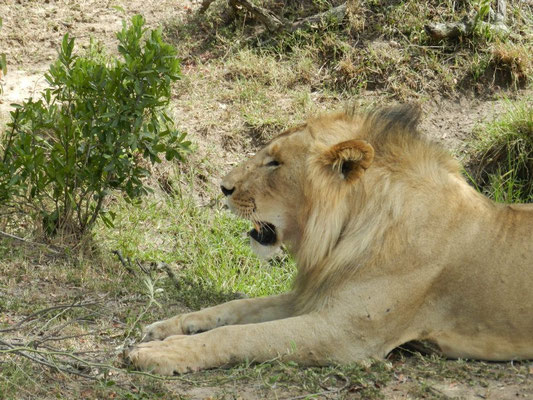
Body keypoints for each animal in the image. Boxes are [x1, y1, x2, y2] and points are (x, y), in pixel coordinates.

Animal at [125, 104, 532, 374]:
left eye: (275, 163)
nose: (223, 187)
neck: (345, 234)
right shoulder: (316, 296)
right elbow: (237, 308)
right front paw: (167, 327)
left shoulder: (344, 334)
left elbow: (242, 336)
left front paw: (163, 353)